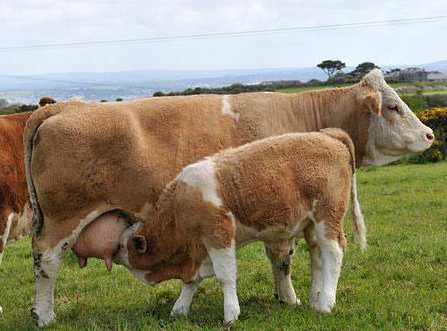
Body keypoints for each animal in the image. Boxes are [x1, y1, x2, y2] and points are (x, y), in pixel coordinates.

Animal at [115, 128, 368, 326]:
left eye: (123, 246)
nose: (111, 255)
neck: (181, 203)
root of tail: (329, 135)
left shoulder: (219, 234)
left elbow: (225, 275)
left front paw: (230, 314)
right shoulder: (199, 249)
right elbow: (192, 282)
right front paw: (179, 309)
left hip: (328, 216)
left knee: (334, 252)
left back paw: (325, 303)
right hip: (311, 226)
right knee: (318, 258)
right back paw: (315, 299)